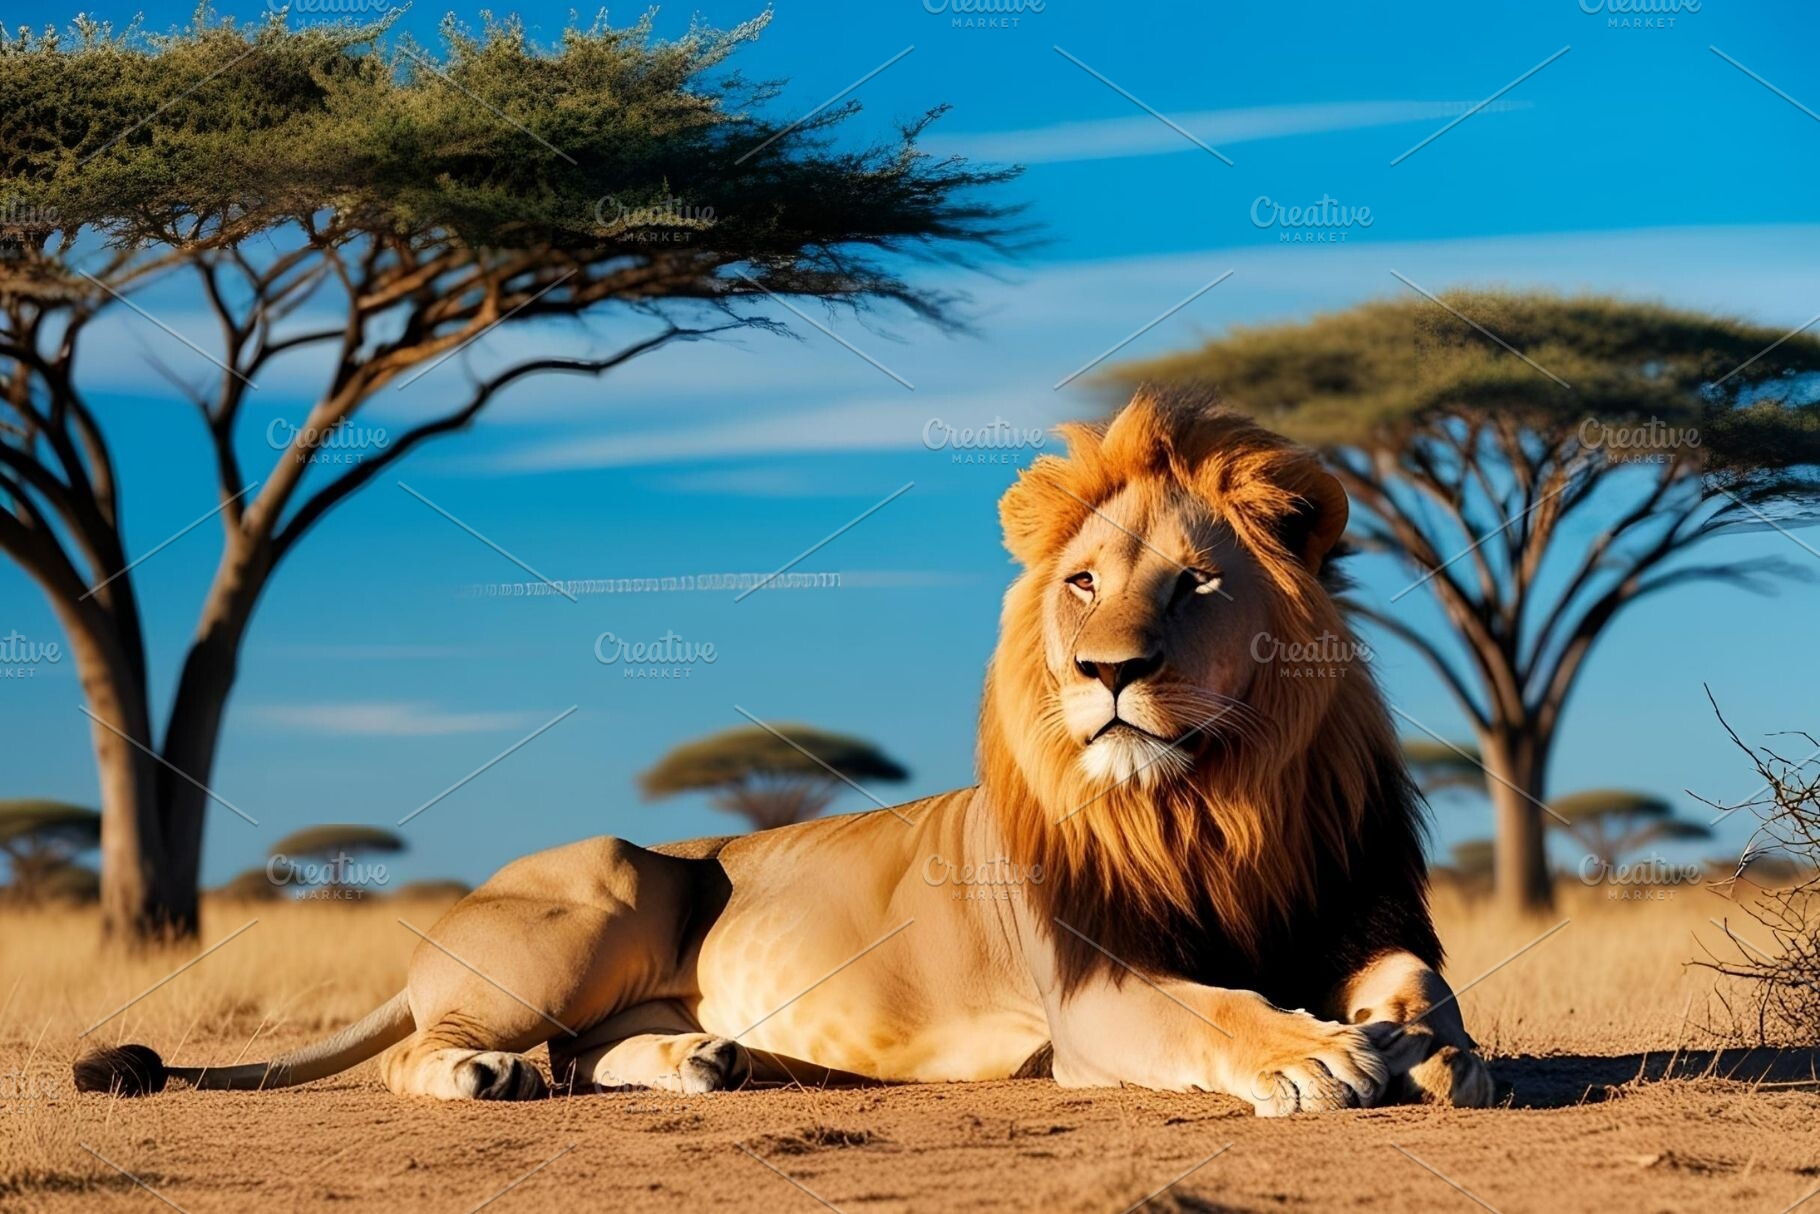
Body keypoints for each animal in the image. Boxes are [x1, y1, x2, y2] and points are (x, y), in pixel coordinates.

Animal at [76, 389, 1493, 1115]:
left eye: (1196, 584)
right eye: (1082, 582)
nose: (1106, 674)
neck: (1211, 802)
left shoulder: (1359, 907)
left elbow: (1425, 984)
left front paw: (1429, 1047)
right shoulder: (1091, 994)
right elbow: (1208, 1006)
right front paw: (1313, 1054)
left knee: (590, 1054)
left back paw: (710, 1058)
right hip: (608, 873)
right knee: (432, 1053)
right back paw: (487, 1068)